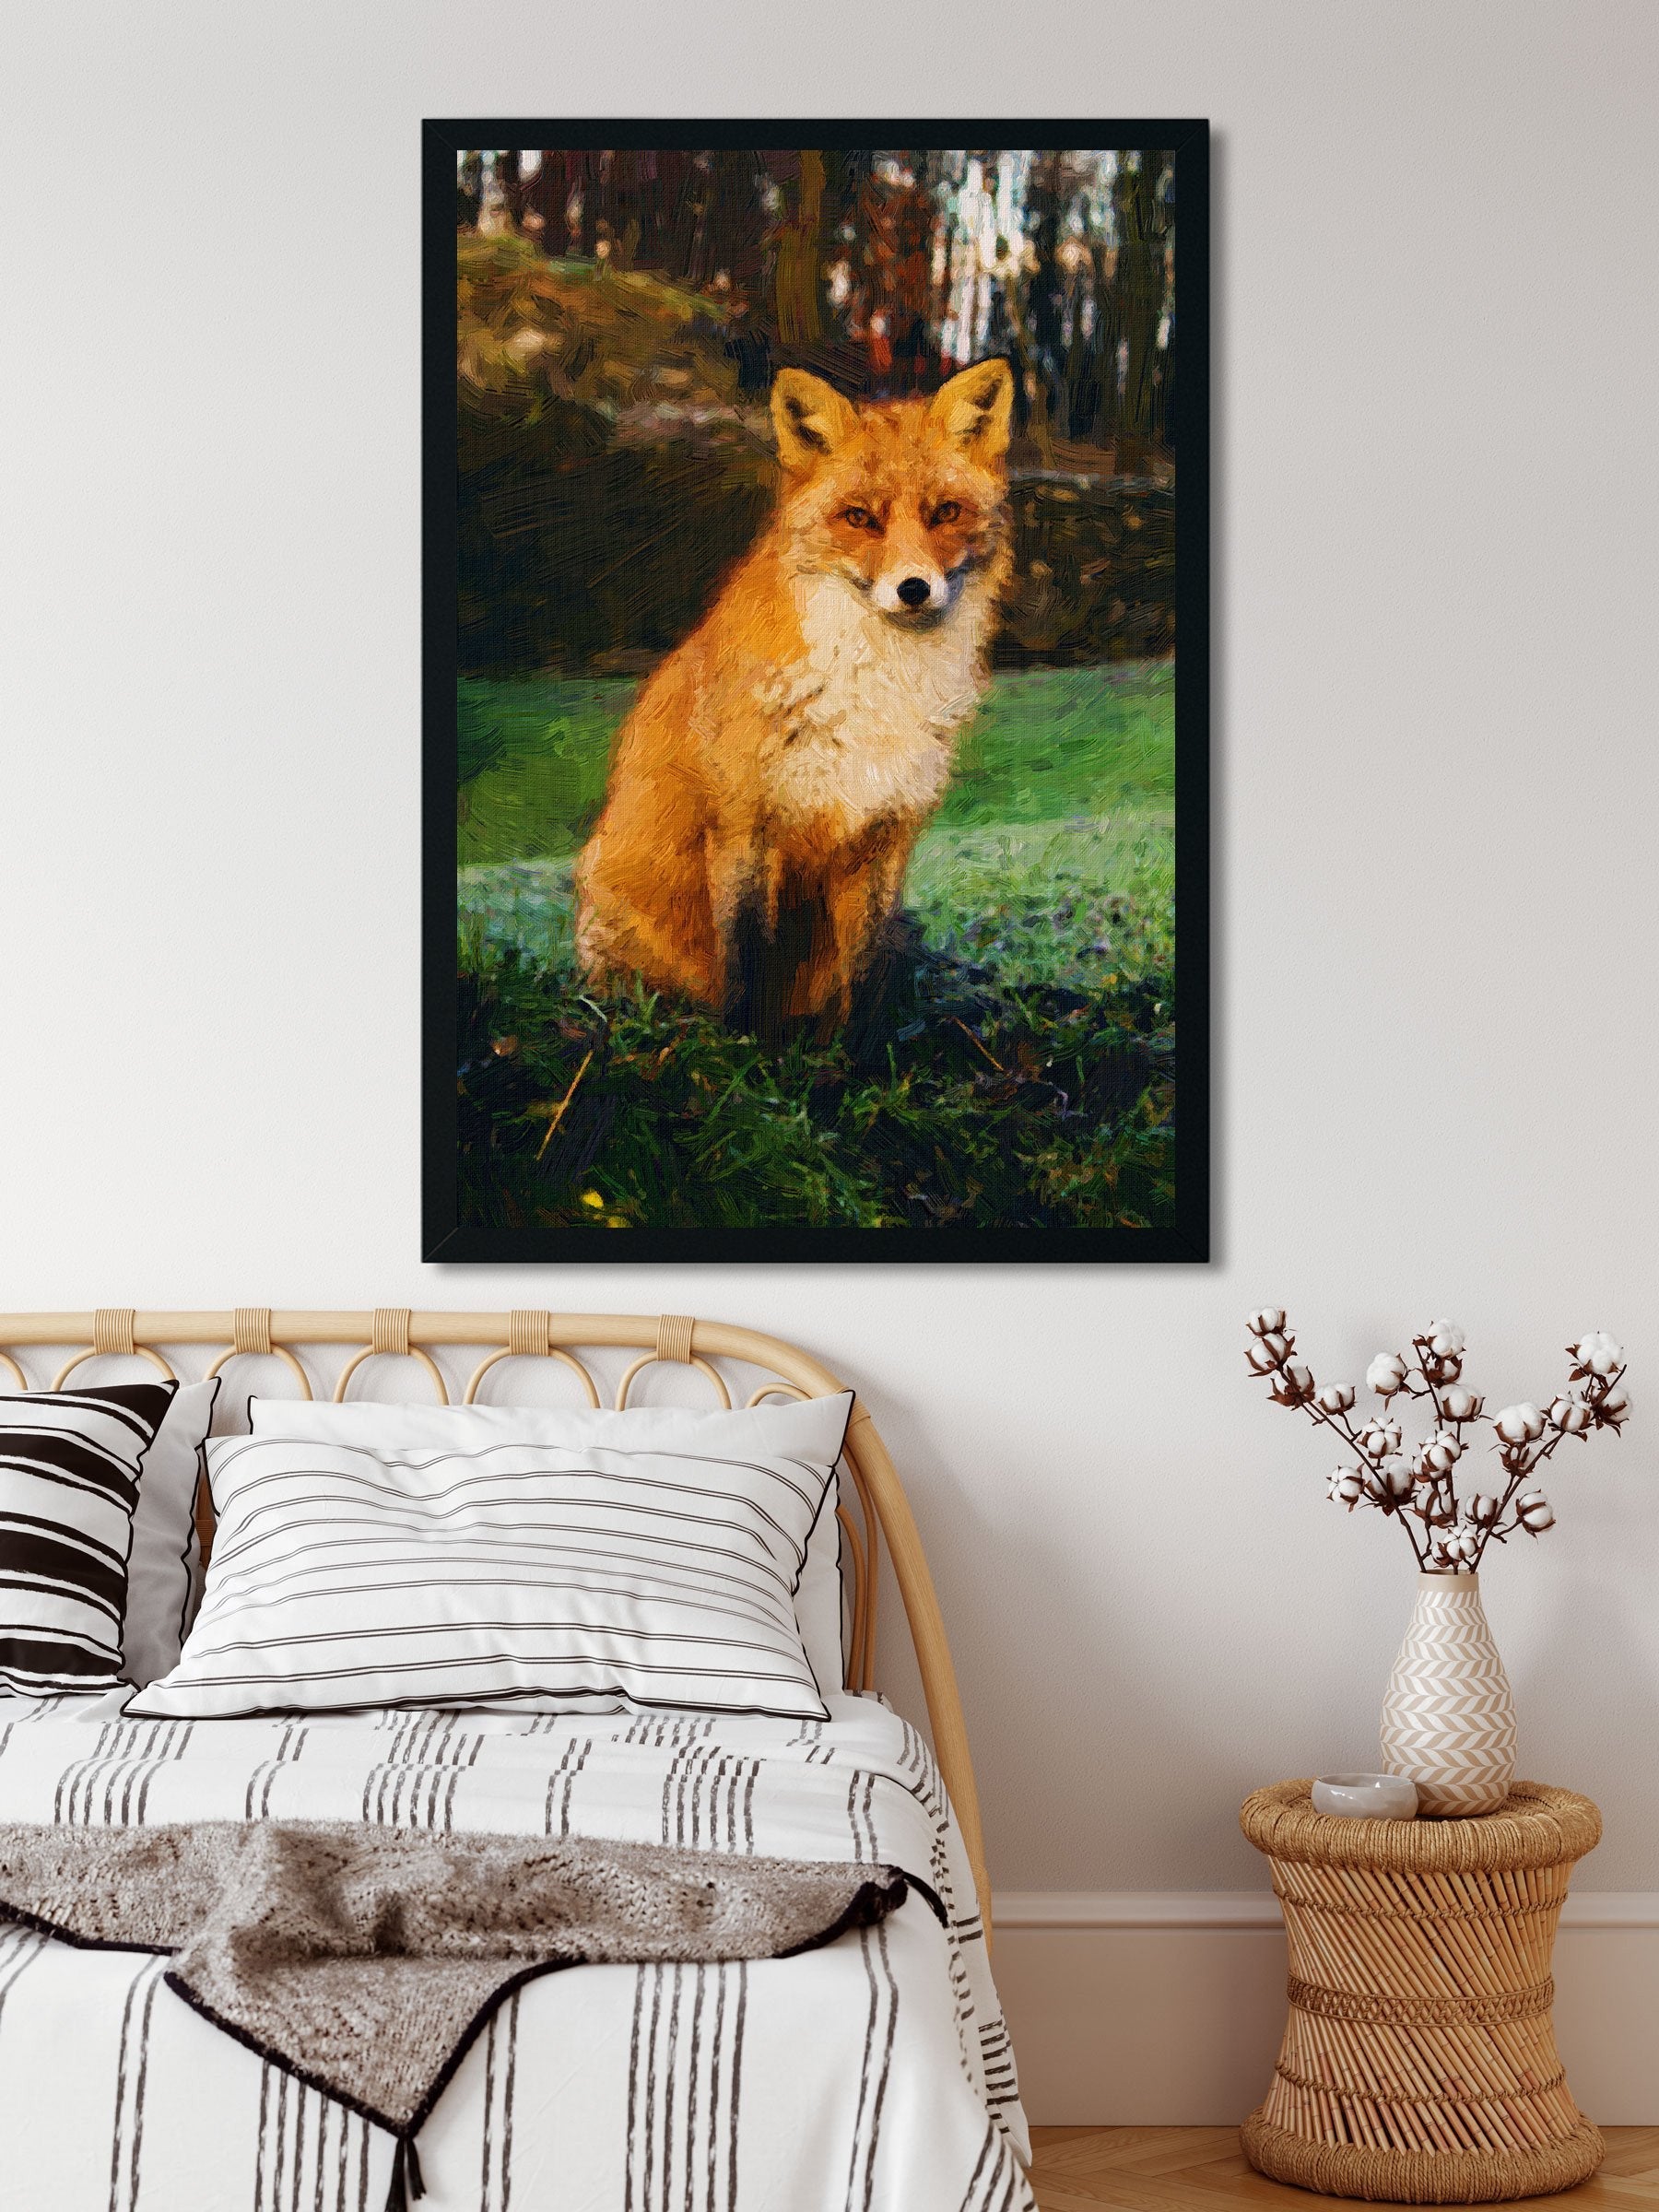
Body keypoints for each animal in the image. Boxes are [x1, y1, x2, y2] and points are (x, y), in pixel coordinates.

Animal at [573, 356, 1015, 1034]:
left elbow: (864, 972)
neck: (875, 690)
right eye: (859, 517)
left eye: (945, 512)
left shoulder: (884, 833)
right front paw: (747, 1046)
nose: (914, 589)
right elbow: (746, 958)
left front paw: (862, 1049)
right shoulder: (744, 824)